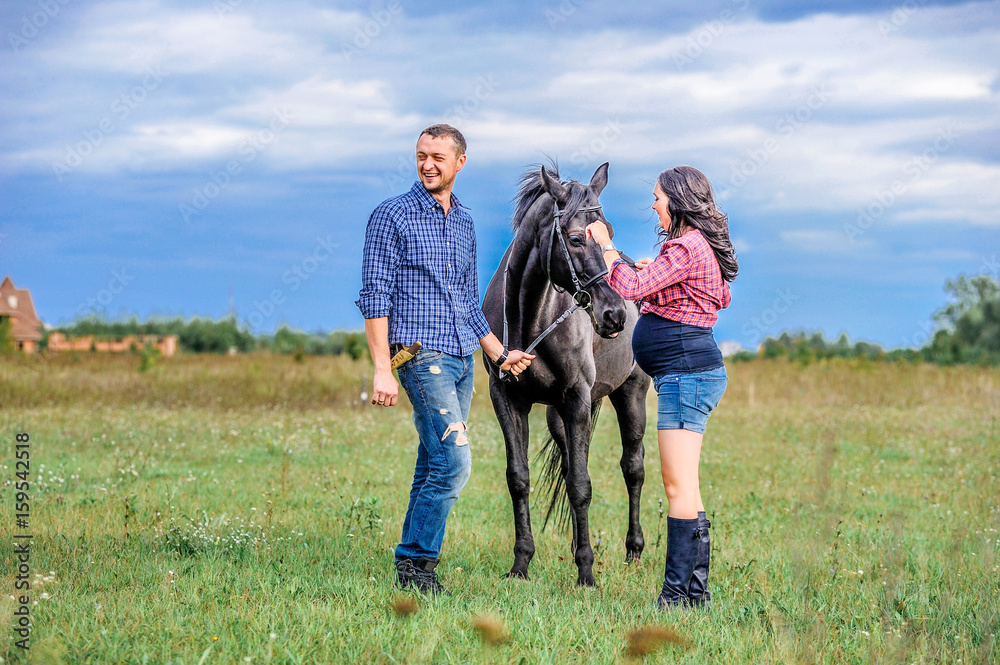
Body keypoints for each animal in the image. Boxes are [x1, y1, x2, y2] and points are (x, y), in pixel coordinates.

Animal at [482, 163, 648, 584]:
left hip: (631, 394)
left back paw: (633, 551)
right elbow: (520, 479)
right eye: (574, 238)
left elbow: (580, 485)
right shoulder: (508, 399)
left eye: (609, 231)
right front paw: (521, 564)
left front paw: (586, 572)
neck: (531, 318)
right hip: (559, 415)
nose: (615, 315)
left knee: (633, 468)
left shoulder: (577, 398)